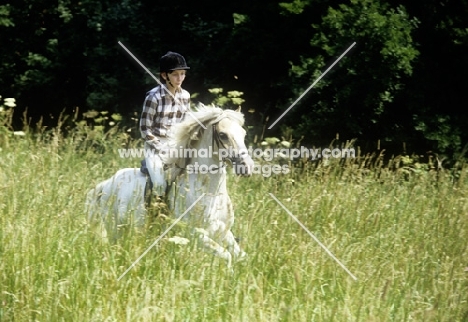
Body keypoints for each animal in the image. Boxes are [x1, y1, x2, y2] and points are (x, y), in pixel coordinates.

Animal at [88, 105, 256, 266]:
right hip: (114, 228)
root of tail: (107, 183)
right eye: (223, 135)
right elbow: (227, 257)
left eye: (243, 134)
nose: (246, 167)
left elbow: (242, 257)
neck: (210, 193)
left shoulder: (224, 232)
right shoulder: (195, 234)